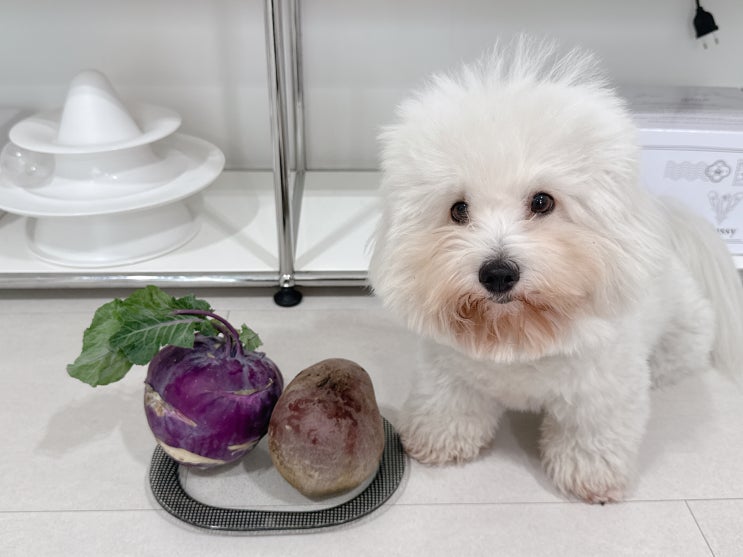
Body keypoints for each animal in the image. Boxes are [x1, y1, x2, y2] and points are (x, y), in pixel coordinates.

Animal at [369, 37, 743, 503]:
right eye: (458, 209)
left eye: (542, 201)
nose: (497, 273)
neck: (519, 333)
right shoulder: (448, 371)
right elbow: (447, 405)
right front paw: (437, 441)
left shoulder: (601, 390)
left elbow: (592, 432)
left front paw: (591, 476)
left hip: (681, 341)